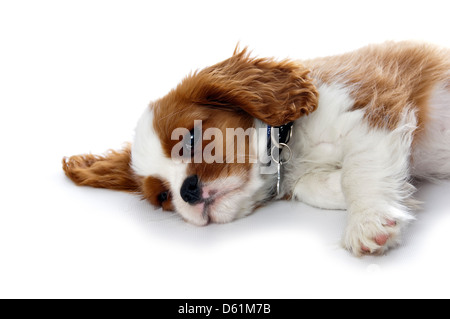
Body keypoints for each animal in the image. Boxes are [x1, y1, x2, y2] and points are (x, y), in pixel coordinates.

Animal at [63, 42, 450, 258]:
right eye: (162, 197)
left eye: (191, 138)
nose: (188, 191)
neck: (290, 142)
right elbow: (315, 185)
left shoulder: (374, 100)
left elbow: (360, 168)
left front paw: (367, 222)